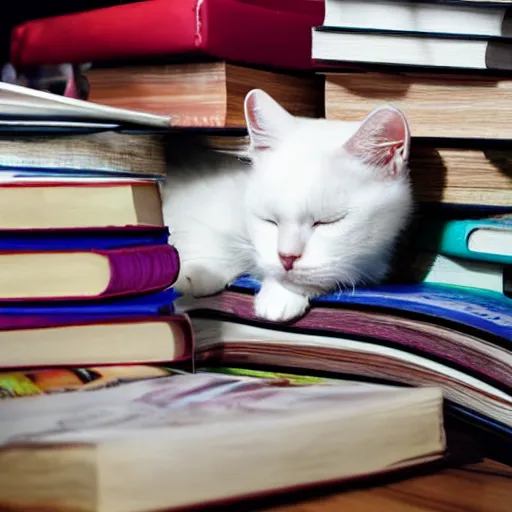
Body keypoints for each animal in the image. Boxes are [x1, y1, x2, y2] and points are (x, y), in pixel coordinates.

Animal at [163, 88, 412, 320]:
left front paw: (280, 295)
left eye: (327, 222)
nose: (286, 258)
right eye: (269, 220)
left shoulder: (374, 262)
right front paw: (193, 272)